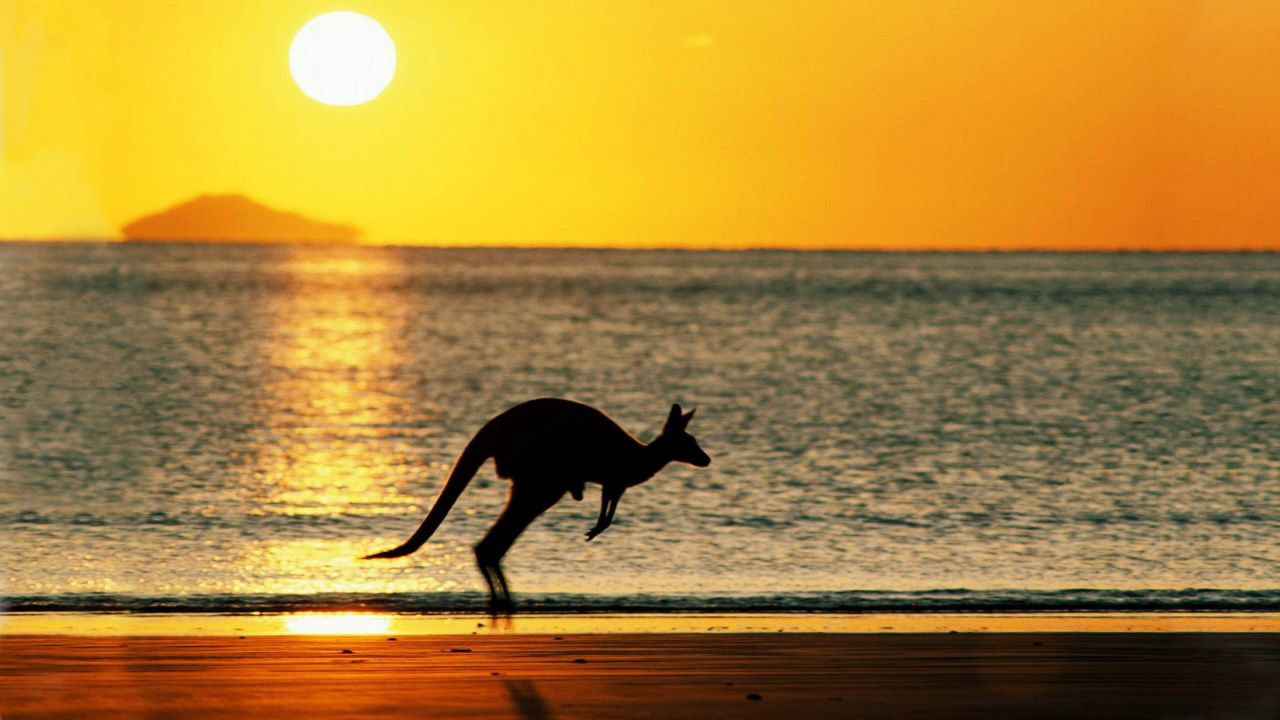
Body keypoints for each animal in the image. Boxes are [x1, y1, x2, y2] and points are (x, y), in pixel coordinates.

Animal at [362, 398, 711, 613]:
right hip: (542, 474)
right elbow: (608, 503)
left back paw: (502, 603)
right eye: (690, 444)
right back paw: (503, 603)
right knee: (494, 542)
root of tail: (492, 429)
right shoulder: (614, 478)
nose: (707, 460)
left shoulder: (616, 483)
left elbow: (609, 503)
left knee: (492, 545)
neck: (640, 456)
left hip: (534, 479)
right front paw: (596, 527)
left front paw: (597, 526)